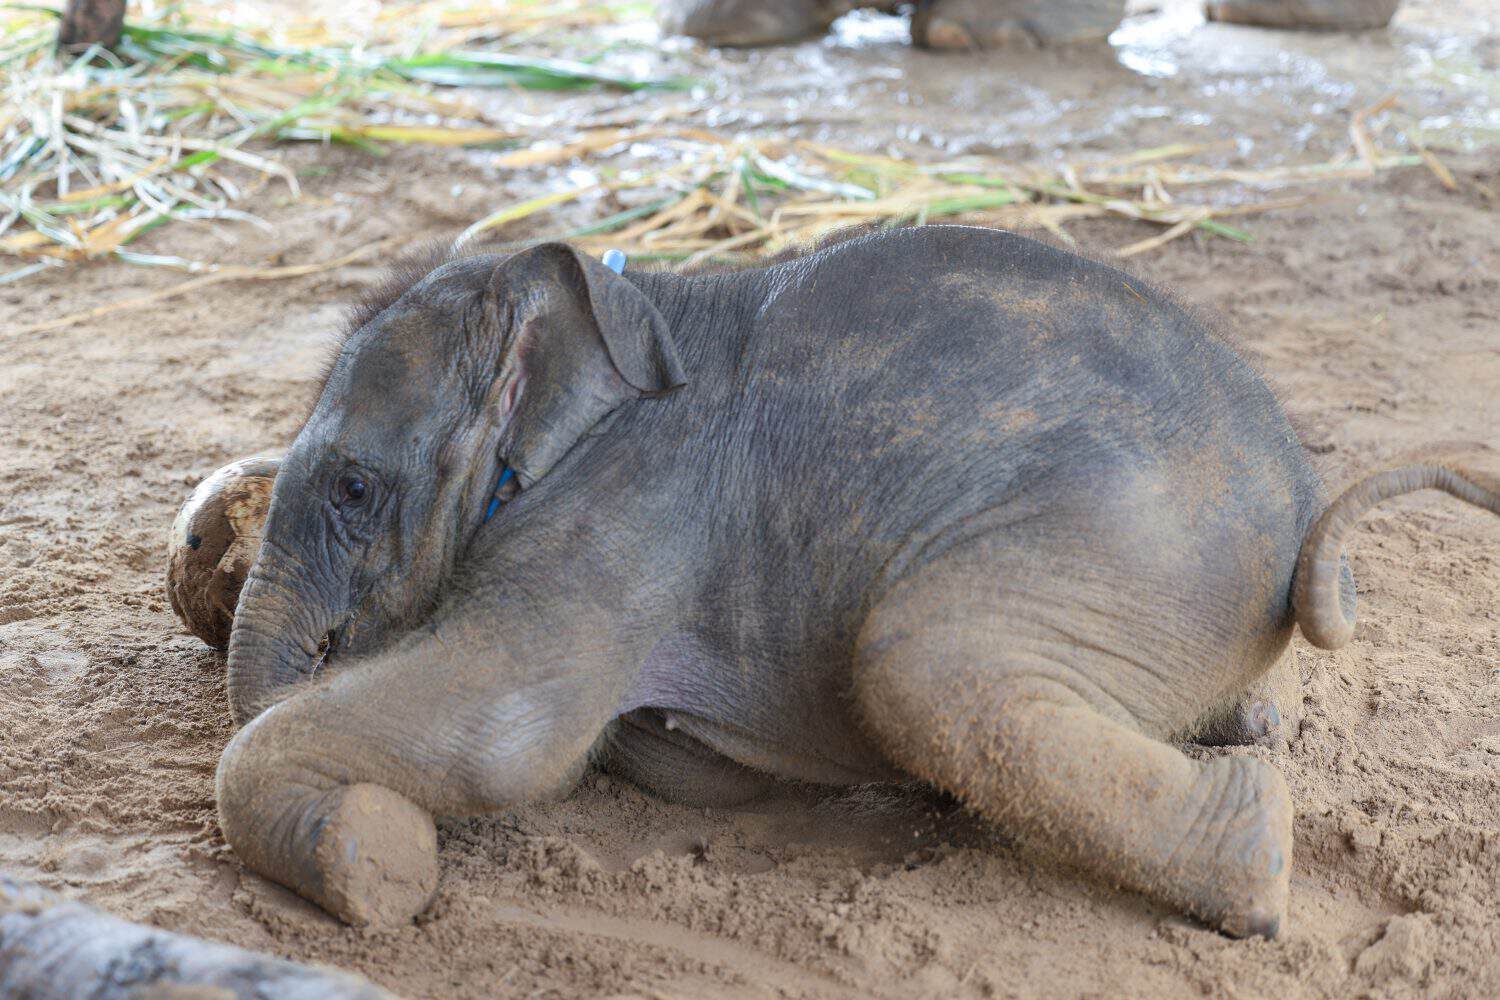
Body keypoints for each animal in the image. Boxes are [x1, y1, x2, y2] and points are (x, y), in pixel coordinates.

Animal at [210, 225, 1498, 938]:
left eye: (353, 488)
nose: (322, 645)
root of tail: (1297, 517)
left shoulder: (632, 513)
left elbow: (506, 734)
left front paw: (378, 861)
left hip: (1130, 544)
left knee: (924, 666)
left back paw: (1255, 857)